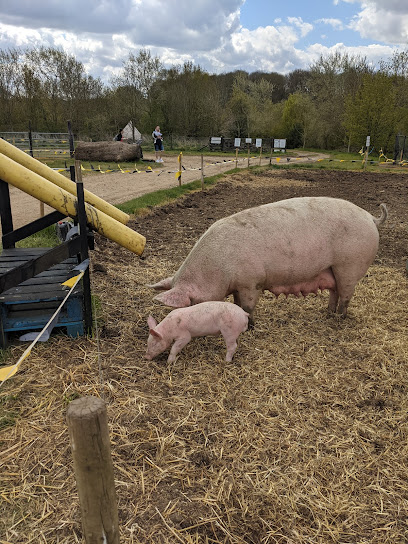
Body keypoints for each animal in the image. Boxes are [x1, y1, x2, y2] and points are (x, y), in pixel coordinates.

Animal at [148, 198, 388, 320]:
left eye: (190, 304)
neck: (218, 267)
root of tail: (370, 217)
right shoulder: (239, 284)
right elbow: (236, 302)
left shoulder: (252, 281)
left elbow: (247, 306)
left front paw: (249, 325)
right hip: (334, 269)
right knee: (335, 292)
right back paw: (327, 314)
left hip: (350, 265)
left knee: (346, 295)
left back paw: (339, 318)